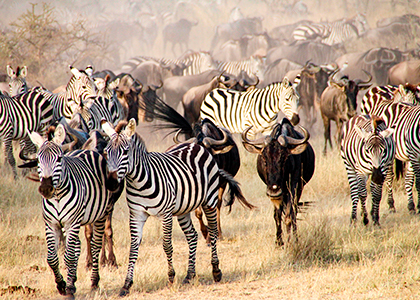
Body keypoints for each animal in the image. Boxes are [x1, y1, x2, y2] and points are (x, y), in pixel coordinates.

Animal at [28, 123, 115, 298]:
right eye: (38, 160)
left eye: (59, 159)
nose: (46, 188)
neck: (58, 196)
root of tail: (87, 150)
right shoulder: (52, 224)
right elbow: (52, 258)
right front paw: (62, 284)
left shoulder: (71, 222)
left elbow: (68, 257)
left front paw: (68, 289)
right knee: (78, 246)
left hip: (100, 215)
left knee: (95, 245)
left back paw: (94, 282)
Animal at [101, 118, 226, 296]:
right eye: (106, 152)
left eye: (125, 151)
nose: (111, 184)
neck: (139, 182)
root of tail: (196, 145)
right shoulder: (136, 215)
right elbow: (133, 247)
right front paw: (126, 284)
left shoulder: (166, 214)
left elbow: (167, 245)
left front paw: (171, 277)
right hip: (182, 209)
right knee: (192, 235)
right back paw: (190, 275)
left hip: (209, 200)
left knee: (213, 231)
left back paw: (216, 271)